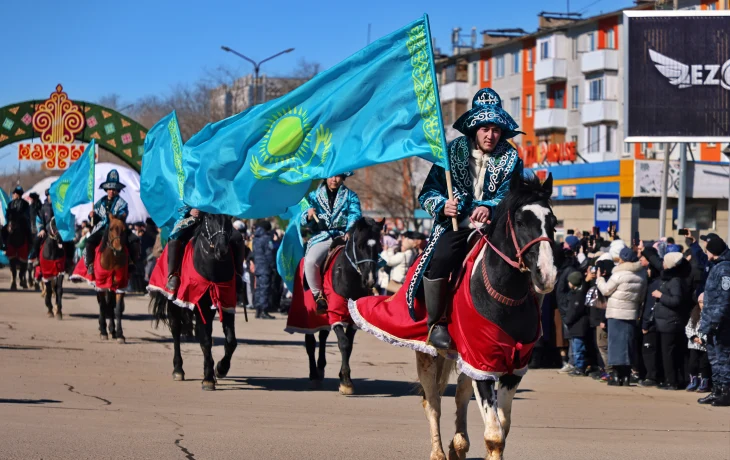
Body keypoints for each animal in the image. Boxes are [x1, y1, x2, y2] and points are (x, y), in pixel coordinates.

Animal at [149, 214, 245, 390]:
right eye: (210, 217)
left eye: (229, 218)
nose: (222, 250)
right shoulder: (201, 306)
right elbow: (205, 341)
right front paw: (208, 378)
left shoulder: (226, 303)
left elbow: (230, 341)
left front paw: (221, 368)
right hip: (173, 304)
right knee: (176, 332)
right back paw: (178, 370)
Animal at [300, 217, 384, 394]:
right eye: (360, 245)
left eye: (379, 246)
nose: (370, 280)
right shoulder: (336, 313)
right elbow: (343, 343)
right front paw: (345, 381)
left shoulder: (353, 319)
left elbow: (349, 345)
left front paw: (345, 378)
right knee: (310, 342)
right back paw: (313, 375)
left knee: (322, 337)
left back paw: (320, 369)